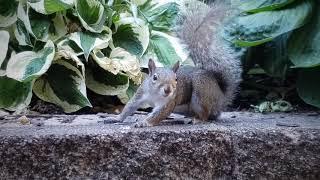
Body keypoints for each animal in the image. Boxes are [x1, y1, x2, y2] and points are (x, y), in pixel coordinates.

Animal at [106, 0, 241, 126]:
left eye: (176, 79)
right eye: (154, 77)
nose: (168, 90)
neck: (156, 94)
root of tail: (221, 99)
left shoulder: (170, 102)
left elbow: (160, 114)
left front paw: (144, 123)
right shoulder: (140, 93)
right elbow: (130, 106)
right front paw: (116, 118)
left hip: (201, 92)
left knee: (205, 114)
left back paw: (197, 120)